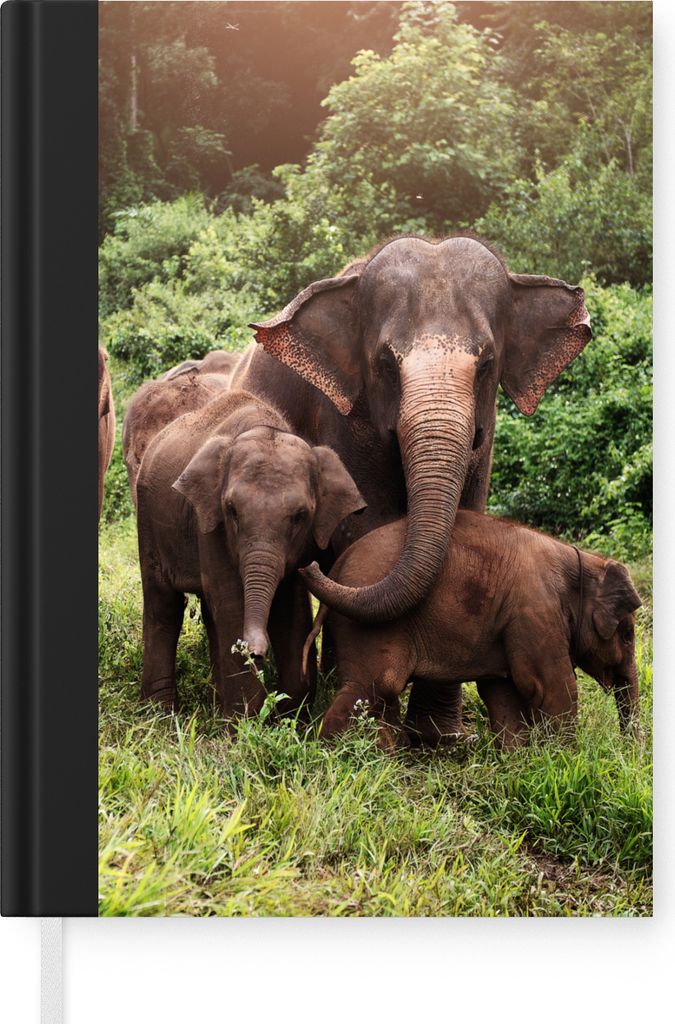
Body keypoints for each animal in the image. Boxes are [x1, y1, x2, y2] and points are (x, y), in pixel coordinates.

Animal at [136, 389, 365, 720]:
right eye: (231, 510)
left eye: (300, 516)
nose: (255, 651)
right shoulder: (210, 522)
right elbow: (232, 604)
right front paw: (244, 724)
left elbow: (291, 609)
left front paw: (290, 718)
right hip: (148, 519)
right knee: (164, 604)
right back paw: (161, 714)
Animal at [234, 234, 591, 738]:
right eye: (385, 362)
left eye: (487, 363)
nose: (311, 568)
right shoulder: (345, 419)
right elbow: (370, 526)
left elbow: (467, 517)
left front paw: (439, 736)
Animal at [303, 511, 641, 750]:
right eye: (627, 636)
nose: (629, 751)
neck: (584, 561)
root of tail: (336, 568)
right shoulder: (535, 612)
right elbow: (553, 688)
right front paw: (564, 759)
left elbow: (503, 692)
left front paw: (521, 761)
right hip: (369, 628)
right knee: (374, 686)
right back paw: (335, 755)